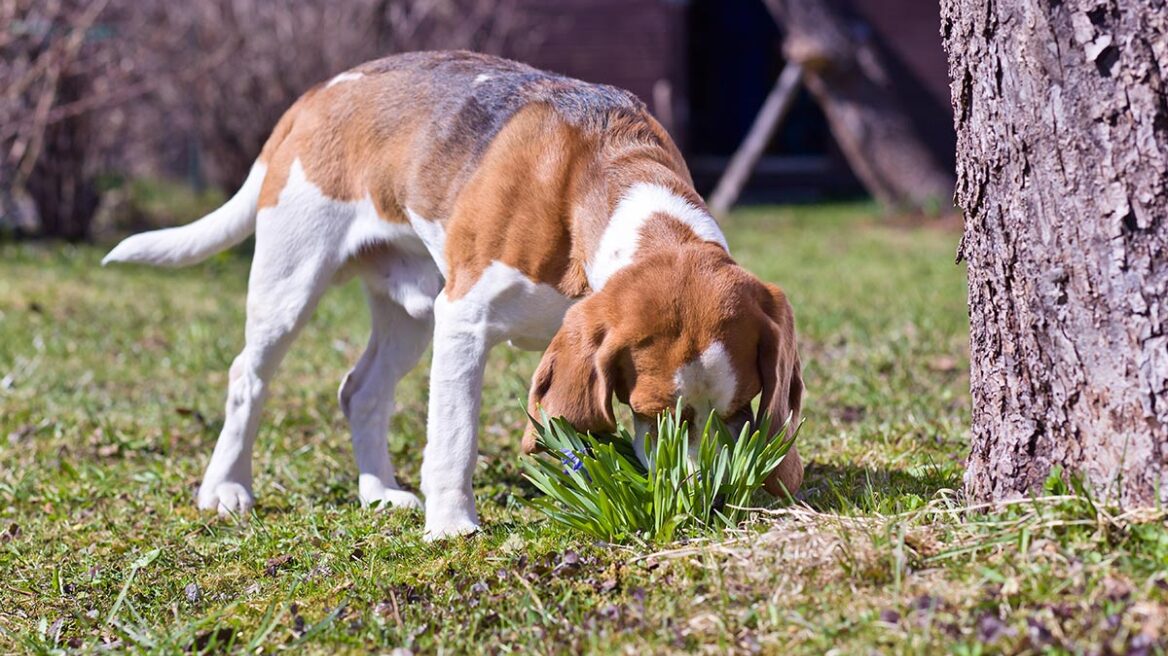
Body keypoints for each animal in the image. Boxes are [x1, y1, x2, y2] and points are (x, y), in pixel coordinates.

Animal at [102, 53, 803, 539]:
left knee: (360, 392)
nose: (704, 499)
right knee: (247, 377)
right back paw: (226, 488)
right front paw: (451, 525)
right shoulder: (464, 320)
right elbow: (455, 436)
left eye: (739, 415)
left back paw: (378, 492)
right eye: (659, 414)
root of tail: (316, 94)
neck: (611, 182)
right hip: (291, 282)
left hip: (410, 313)